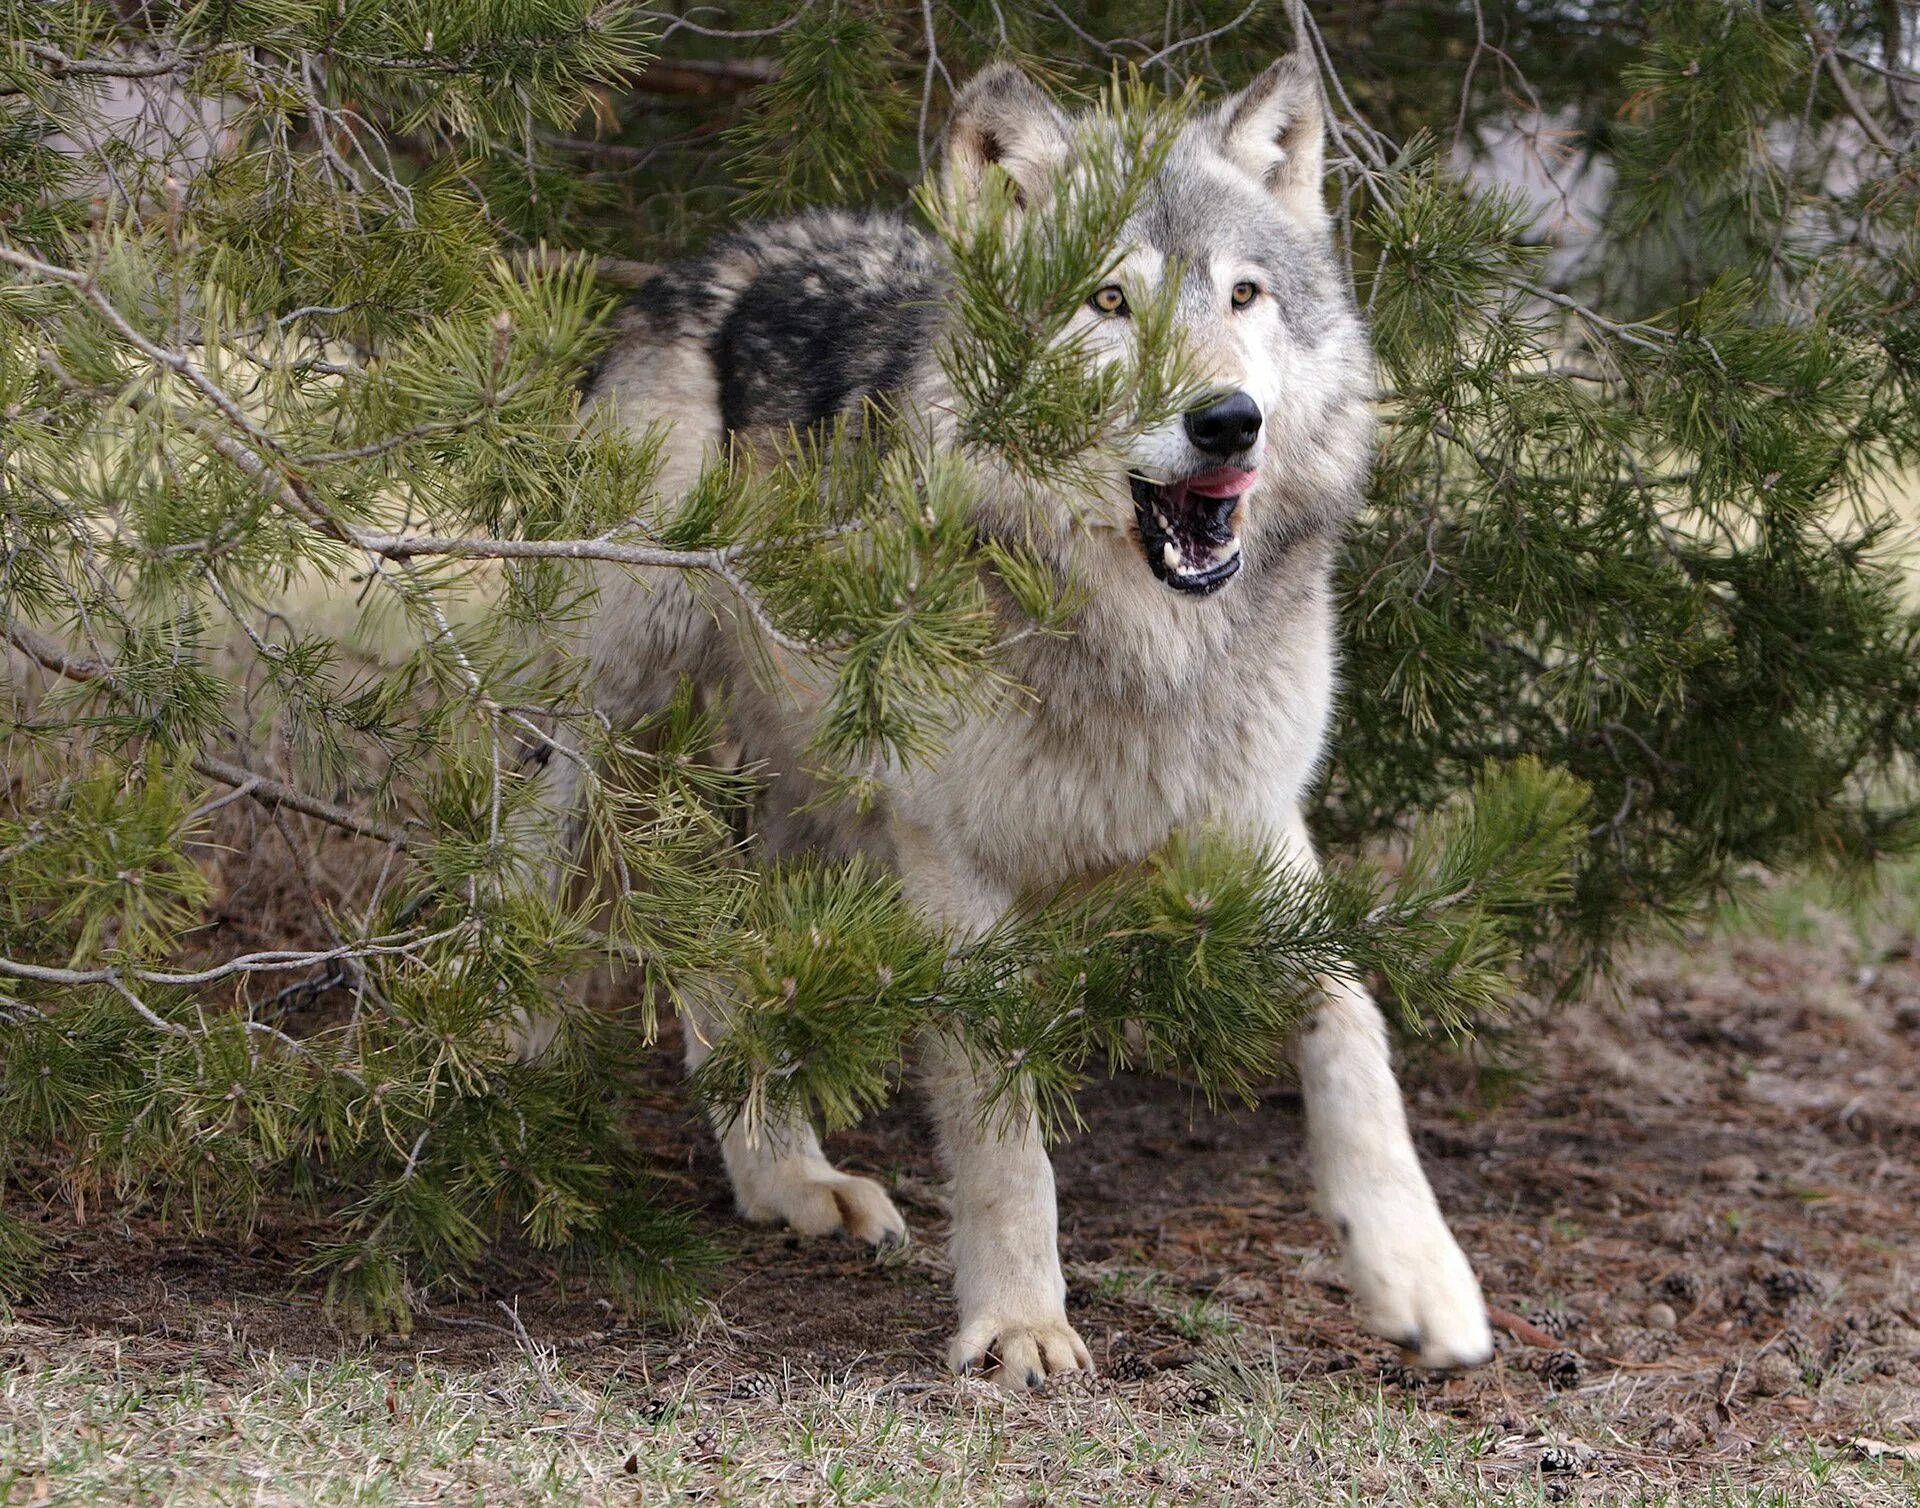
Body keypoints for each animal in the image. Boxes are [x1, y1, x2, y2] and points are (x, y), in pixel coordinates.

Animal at [560, 49, 1489, 1390]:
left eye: (1245, 294)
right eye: (1106, 301)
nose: (1228, 419)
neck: (1143, 649)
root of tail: (718, 251)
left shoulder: (1257, 823)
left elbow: (1353, 1029)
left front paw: (1419, 1275)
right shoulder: (957, 865)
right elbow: (1003, 1127)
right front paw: (1019, 1322)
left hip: (814, 805)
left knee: (742, 956)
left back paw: (788, 1177)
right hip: (627, 737)